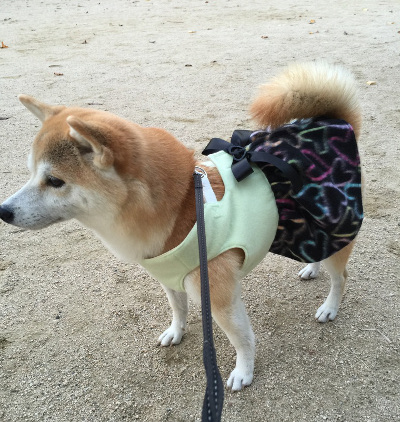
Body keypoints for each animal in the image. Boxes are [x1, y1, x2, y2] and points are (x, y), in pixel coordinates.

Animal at [0, 62, 362, 392]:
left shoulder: (219, 298)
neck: (183, 206)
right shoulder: (170, 277)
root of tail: (337, 121)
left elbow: (242, 338)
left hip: (334, 226)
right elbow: (178, 308)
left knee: (341, 277)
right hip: (306, 232)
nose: (4, 211)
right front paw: (176, 331)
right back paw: (311, 268)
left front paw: (244, 371)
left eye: (54, 181)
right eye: (31, 172)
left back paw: (329, 307)